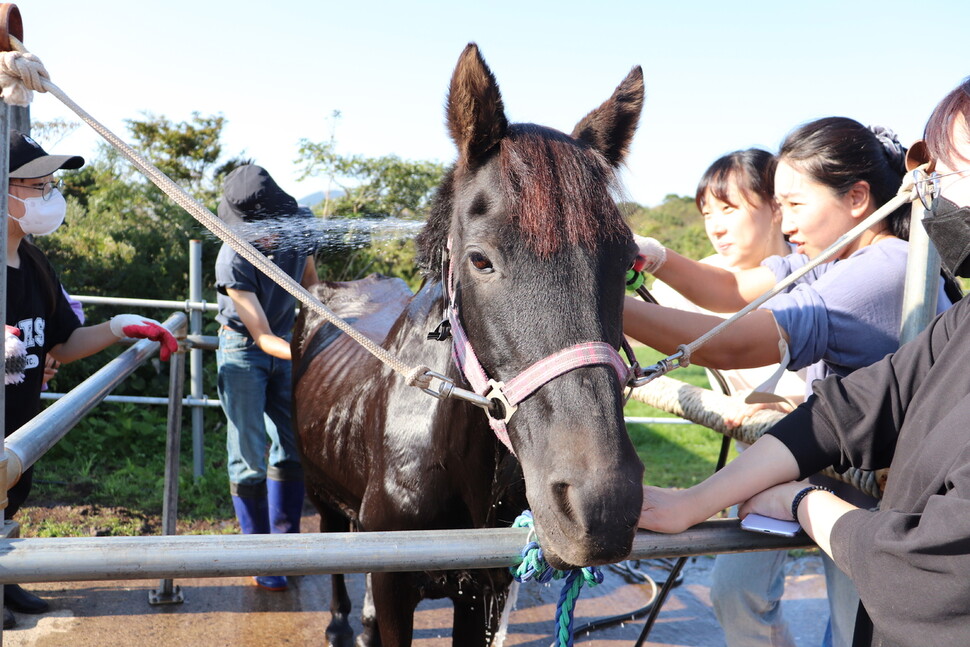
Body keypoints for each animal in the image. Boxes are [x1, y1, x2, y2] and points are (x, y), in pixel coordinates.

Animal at [292, 44, 648, 647]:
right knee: (332, 544)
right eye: (480, 259)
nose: (601, 505)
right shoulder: (395, 586)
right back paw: (340, 620)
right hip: (321, 494)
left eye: (627, 263)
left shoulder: (484, 588)